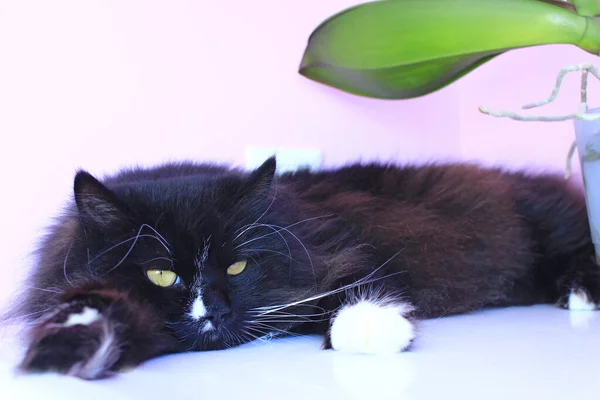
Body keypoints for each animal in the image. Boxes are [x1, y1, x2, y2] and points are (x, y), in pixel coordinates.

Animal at [5, 156, 600, 378]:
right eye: (161, 276)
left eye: (238, 267)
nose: (211, 312)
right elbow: (88, 310)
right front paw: (61, 356)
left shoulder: (344, 246)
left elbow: (359, 284)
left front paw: (370, 328)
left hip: (551, 225)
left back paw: (580, 294)